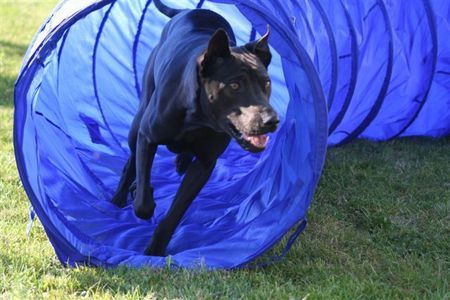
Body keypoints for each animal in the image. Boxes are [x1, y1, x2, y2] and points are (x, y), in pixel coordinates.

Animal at [111, 0, 278, 256]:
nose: (271, 120)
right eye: (234, 85)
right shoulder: (147, 137)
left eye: (266, 83)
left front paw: (155, 250)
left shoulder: (205, 165)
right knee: (132, 159)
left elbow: (176, 212)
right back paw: (121, 194)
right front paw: (141, 192)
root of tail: (187, 12)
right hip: (138, 119)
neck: (199, 119)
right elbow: (142, 204)